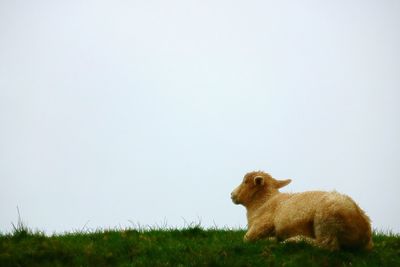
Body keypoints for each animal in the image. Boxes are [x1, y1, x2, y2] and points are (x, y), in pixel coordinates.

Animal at [230, 172, 374, 251]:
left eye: (245, 181)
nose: (231, 194)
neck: (263, 202)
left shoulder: (261, 226)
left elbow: (246, 239)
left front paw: (270, 240)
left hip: (326, 220)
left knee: (325, 245)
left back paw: (293, 241)